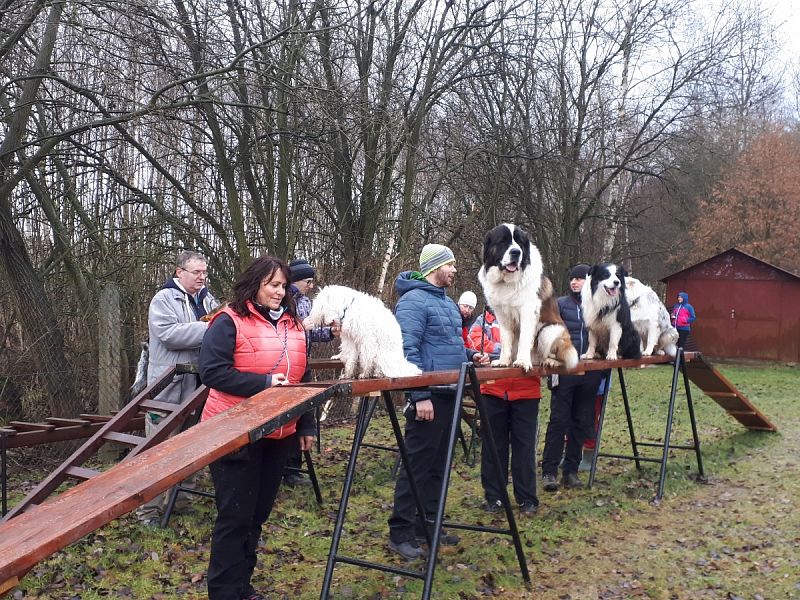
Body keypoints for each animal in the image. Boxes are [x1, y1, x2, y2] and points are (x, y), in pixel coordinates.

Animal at [478, 224, 580, 370]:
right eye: (503, 241)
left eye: (520, 242)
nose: (516, 252)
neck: (506, 282)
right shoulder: (502, 315)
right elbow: (505, 339)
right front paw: (503, 361)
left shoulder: (528, 311)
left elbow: (524, 339)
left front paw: (522, 361)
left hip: (550, 331)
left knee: (563, 357)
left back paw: (550, 361)